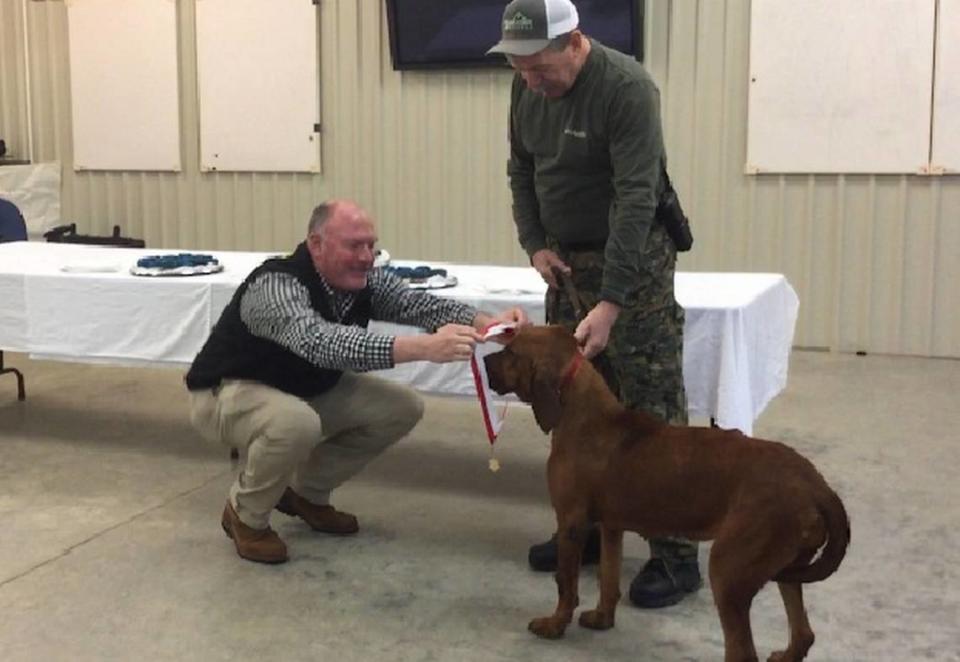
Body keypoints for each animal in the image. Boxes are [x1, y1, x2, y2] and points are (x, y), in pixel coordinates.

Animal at [484, 326, 852, 662]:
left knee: (744, 651)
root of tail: (816, 485)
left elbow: (566, 581)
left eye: (511, 351)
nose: (485, 360)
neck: (584, 415)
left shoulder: (571, 522)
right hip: (788, 567)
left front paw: (555, 624)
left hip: (729, 569)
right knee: (803, 633)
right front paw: (602, 618)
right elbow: (608, 577)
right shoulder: (611, 526)